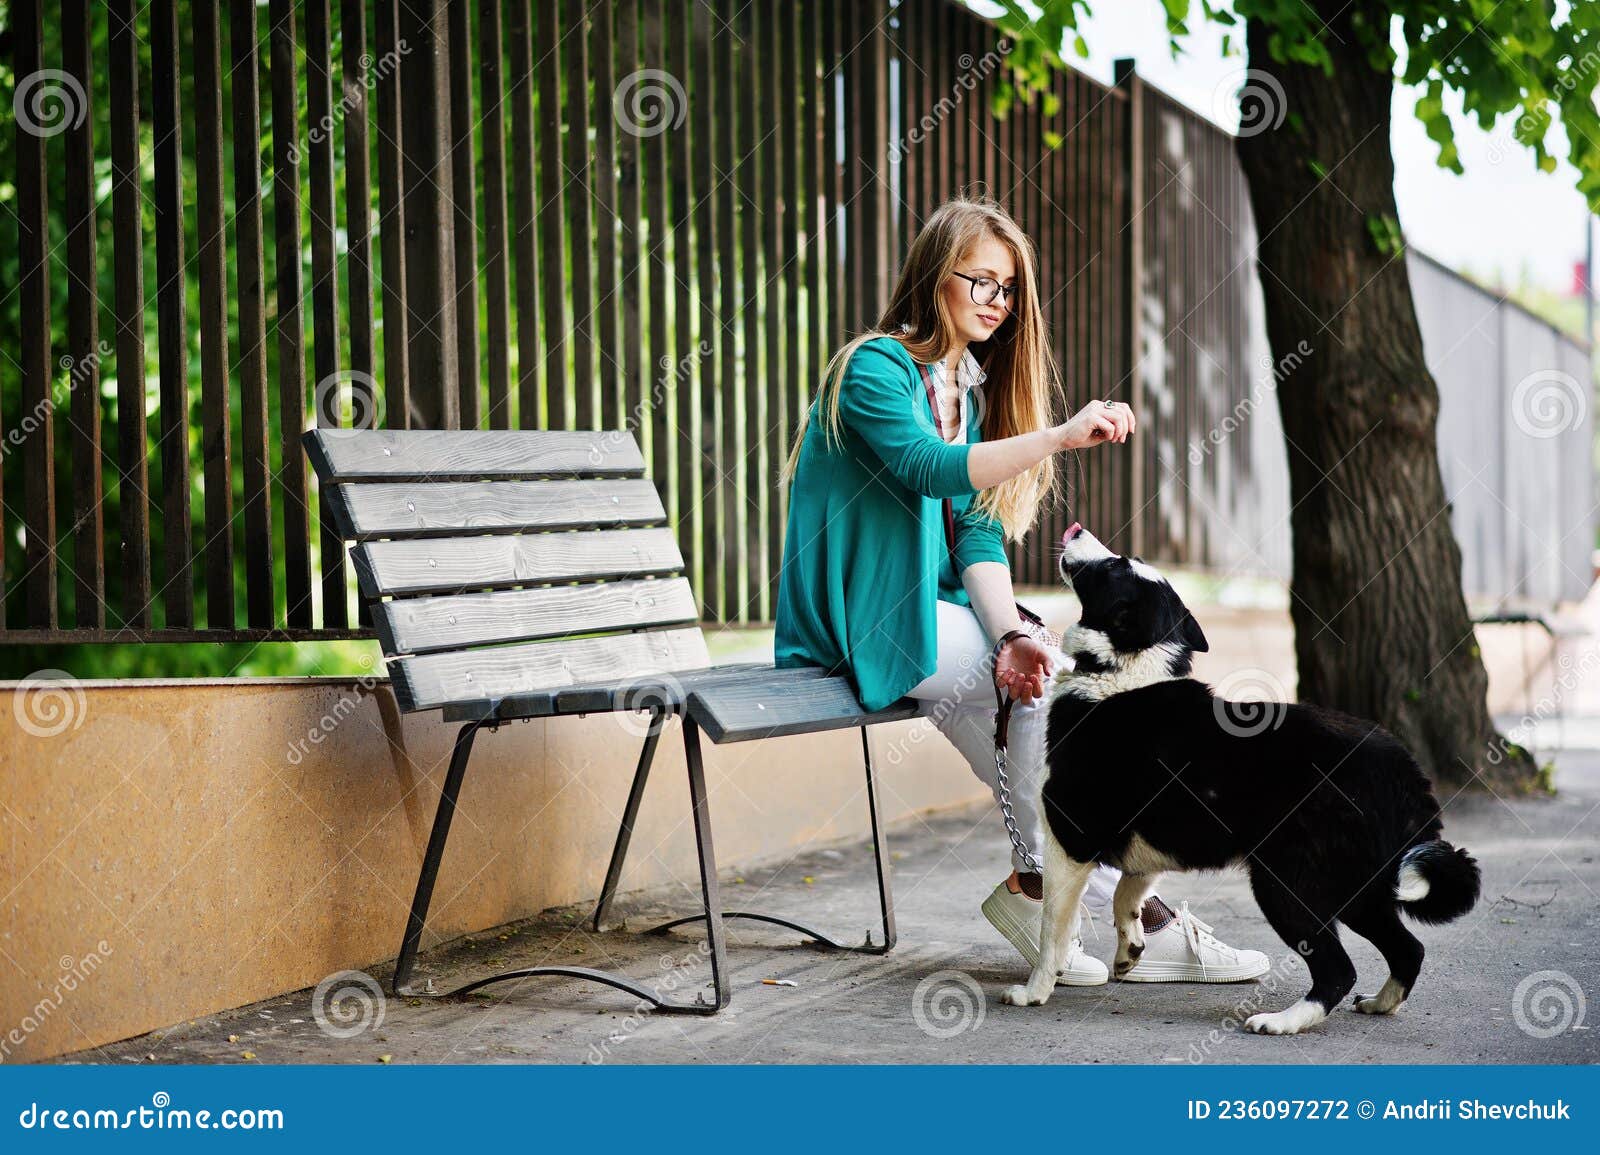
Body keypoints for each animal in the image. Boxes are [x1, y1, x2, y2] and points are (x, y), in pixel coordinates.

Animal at [1004, 521, 1478, 1036]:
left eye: (1116, 566)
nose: (1075, 529)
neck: (1122, 669)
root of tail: (1405, 771)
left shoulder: (1069, 842)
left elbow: (1053, 927)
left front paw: (1035, 990)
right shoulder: (1146, 843)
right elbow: (1128, 892)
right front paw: (1129, 949)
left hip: (1286, 882)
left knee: (1339, 968)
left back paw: (1283, 1021)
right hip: (1360, 885)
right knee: (1408, 949)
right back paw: (1380, 1003)